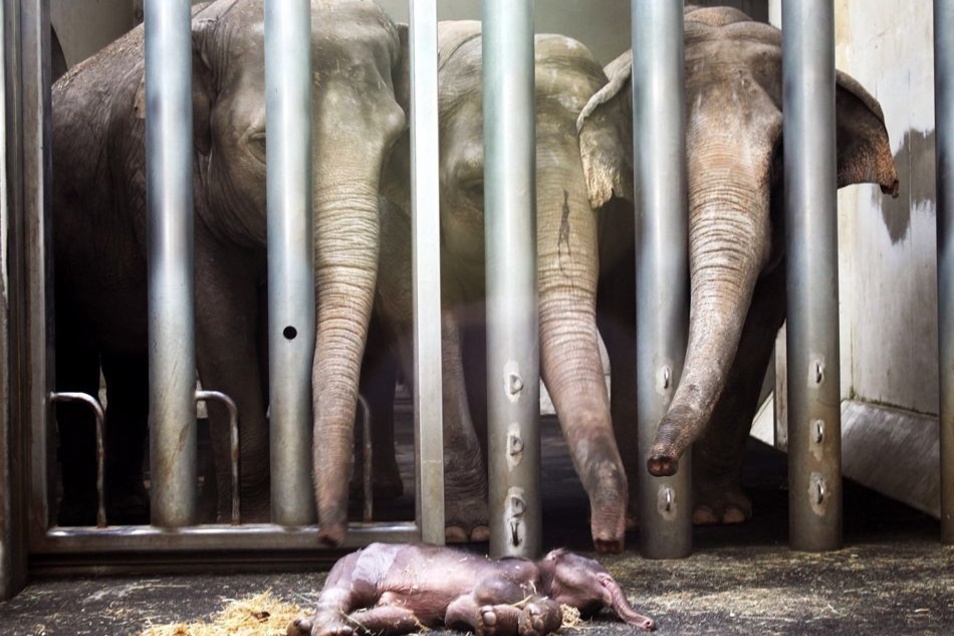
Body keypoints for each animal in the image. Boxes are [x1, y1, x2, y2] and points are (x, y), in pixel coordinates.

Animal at [53, 0, 406, 544]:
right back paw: (82, 515)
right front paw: (249, 517)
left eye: (395, 143)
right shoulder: (155, 179)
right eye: (265, 144)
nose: (332, 535)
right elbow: (222, 323)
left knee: (130, 363)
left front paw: (234, 509)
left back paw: (133, 505)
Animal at [286, 540, 652, 636]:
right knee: (340, 595)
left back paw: (304, 626)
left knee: (395, 618)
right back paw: (328, 630)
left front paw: (490, 621)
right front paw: (533, 618)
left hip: (397, 609)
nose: (649, 623)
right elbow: (490, 589)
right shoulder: (511, 570)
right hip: (361, 568)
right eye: (603, 579)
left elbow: (455, 611)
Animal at [572, 4, 900, 528]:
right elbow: (626, 324)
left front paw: (719, 515)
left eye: (783, 153)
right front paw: (644, 516)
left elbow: (756, 333)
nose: (660, 461)